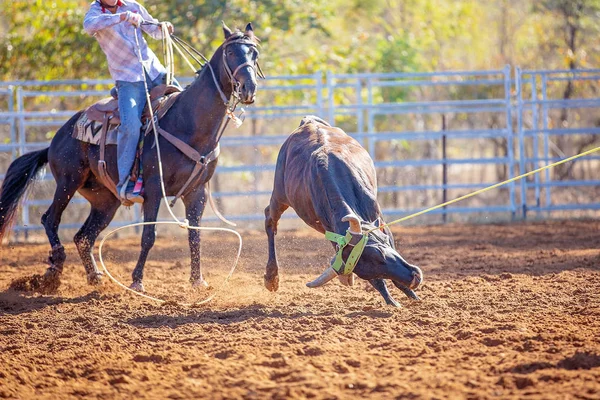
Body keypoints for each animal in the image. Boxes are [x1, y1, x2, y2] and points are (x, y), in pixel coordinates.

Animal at [1, 22, 262, 294]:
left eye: (255, 54)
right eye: (230, 52)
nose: (249, 88)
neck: (188, 123)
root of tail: (59, 135)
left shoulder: (196, 191)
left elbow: (194, 234)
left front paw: (197, 280)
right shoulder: (154, 188)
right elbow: (149, 236)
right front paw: (137, 280)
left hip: (105, 200)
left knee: (83, 236)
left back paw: (95, 276)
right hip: (68, 181)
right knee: (50, 219)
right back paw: (54, 268)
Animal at [264, 115, 424, 306]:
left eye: (381, 249)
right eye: (375, 263)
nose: (414, 277)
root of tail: (308, 121)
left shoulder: (379, 219)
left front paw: (411, 295)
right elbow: (377, 282)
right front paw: (392, 301)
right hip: (279, 194)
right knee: (270, 219)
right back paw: (271, 277)